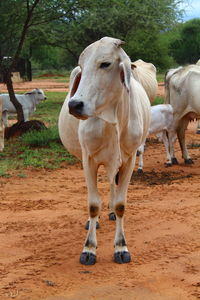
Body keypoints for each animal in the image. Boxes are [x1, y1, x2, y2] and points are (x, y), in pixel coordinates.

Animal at [57, 37, 150, 264]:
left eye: (105, 64)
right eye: (82, 66)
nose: (75, 105)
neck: (112, 117)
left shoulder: (129, 159)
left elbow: (121, 204)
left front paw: (121, 247)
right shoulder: (88, 159)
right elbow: (93, 204)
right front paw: (89, 248)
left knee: (112, 187)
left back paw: (110, 212)